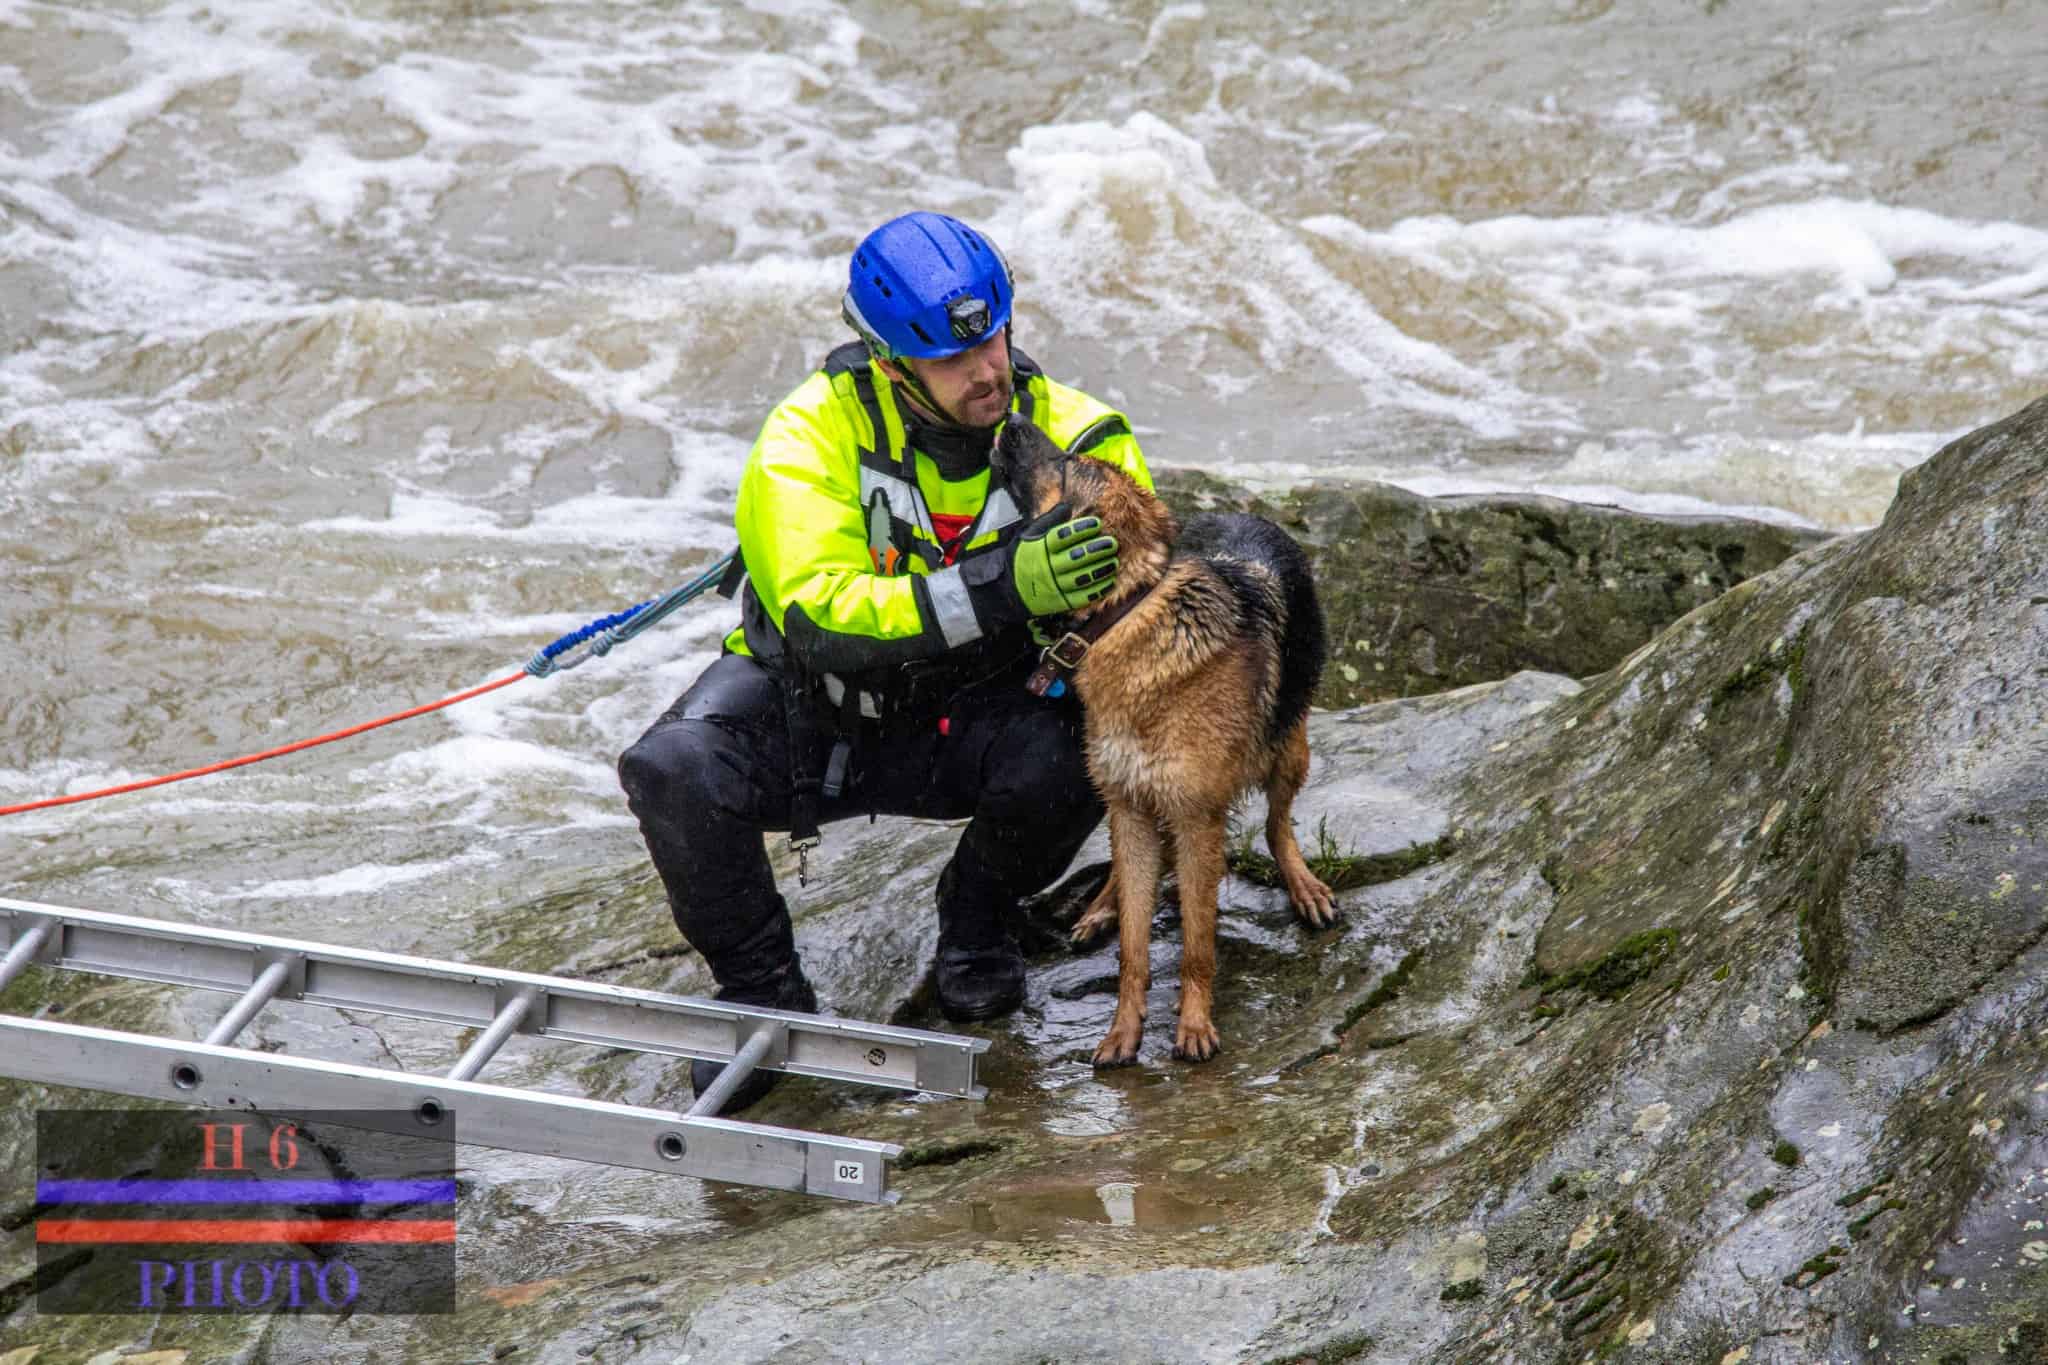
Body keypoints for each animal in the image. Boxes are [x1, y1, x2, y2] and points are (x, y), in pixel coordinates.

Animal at [995, 421, 1343, 1064]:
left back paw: (1303, 884)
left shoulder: (1196, 819)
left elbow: (1196, 945)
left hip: (1289, 748)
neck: (1126, 613)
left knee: (1278, 825)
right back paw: (1101, 907)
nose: (1011, 421)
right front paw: (1122, 1032)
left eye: (1068, 465)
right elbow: (1134, 948)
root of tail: (1242, 512)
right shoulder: (1130, 806)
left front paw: (1194, 1026)